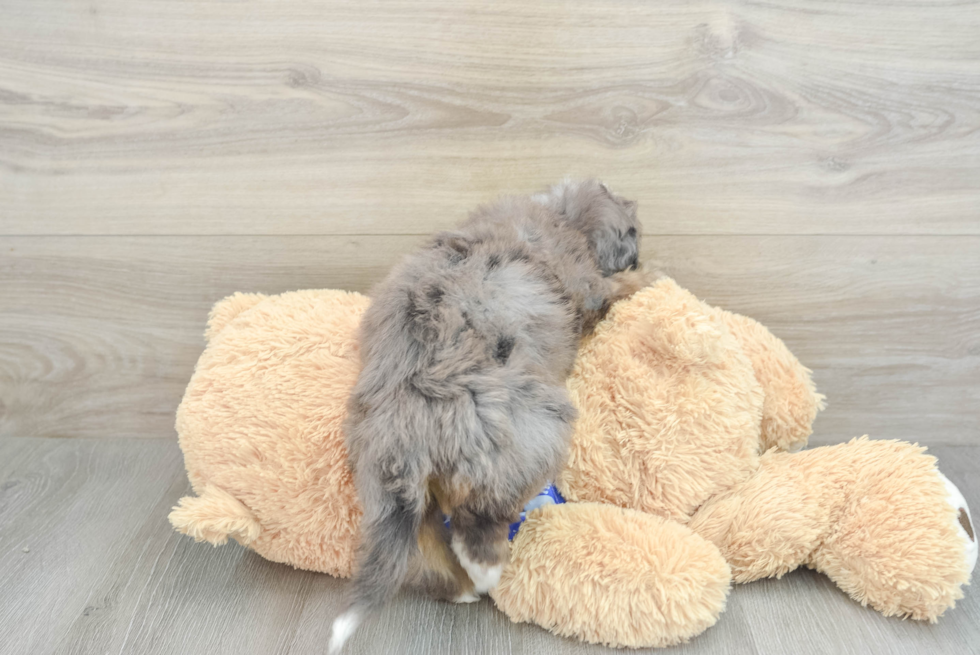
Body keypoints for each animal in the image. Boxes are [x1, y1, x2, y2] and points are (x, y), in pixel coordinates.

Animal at [330, 178, 648, 652]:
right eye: (633, 232)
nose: (639, 253)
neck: (561, 215)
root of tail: (408, 422)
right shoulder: (590, 286)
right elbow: (618, 288)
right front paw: (647, 276)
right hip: (530, 439)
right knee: (478, 520)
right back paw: (485, 572)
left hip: (390, 488)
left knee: (425, 548)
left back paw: (461, 589)